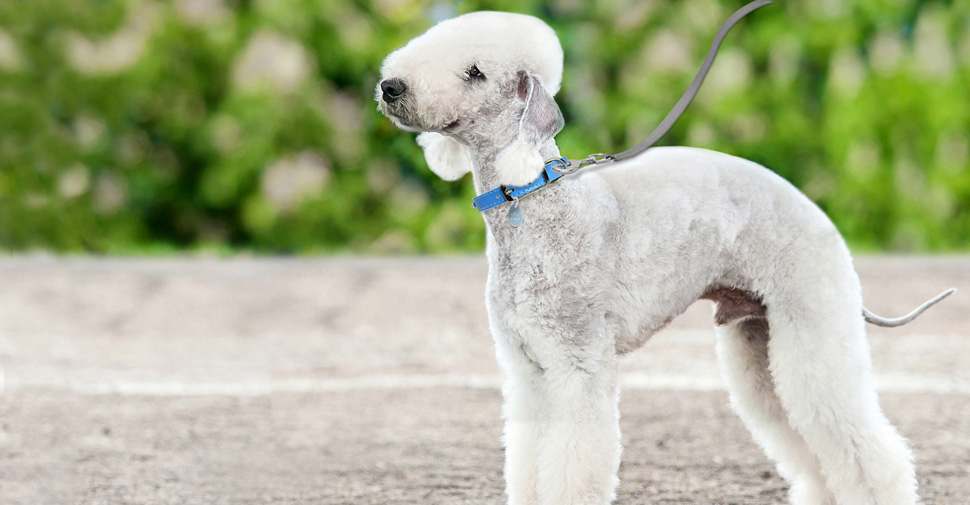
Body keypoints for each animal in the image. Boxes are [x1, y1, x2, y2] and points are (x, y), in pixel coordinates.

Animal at [374, 10, 920, 504]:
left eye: (476, 73)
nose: (390, 87)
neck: (530, 199)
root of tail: (818, 215)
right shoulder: (528, 371)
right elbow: (528, 459)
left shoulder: (578, 365)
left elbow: (574, 466)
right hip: (759, 341)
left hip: (813, 326)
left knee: (865, 445)